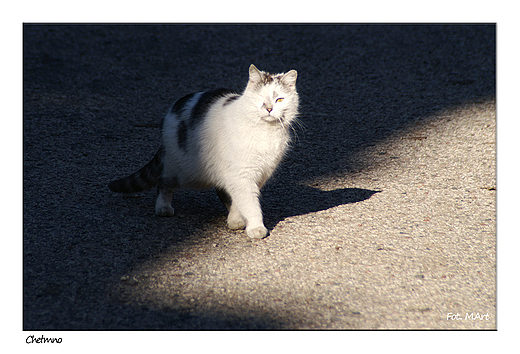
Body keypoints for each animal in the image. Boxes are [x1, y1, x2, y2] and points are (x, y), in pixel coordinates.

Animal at [107, 65, 298, 239]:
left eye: (279, 100)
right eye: (260, 97)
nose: (269, 109)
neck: (266, 133)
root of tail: (173, 109)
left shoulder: (258, 174)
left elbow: (240, 200)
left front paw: (235, 219)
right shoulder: (242, 174)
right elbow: (250, 203)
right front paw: (256, 228)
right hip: (181, 168)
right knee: (164, 183)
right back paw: (163, 207)